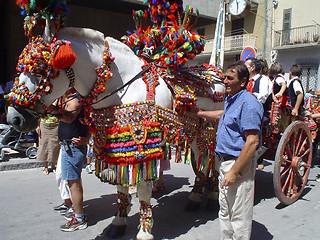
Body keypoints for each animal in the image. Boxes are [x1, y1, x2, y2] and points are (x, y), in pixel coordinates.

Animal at [5, 0, 225, 239]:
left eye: (39, 68)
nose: (14, 118)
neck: (123, 86)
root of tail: (216, 73)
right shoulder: (116, 146)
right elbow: (121, 187)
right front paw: (118, 223)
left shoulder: (142, 146)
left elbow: (143, 189)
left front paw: (145, 231)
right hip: (194, 132)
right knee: (201, 161)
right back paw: (195, 197)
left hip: (214, 131)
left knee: (214, 162)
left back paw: (212, 197)